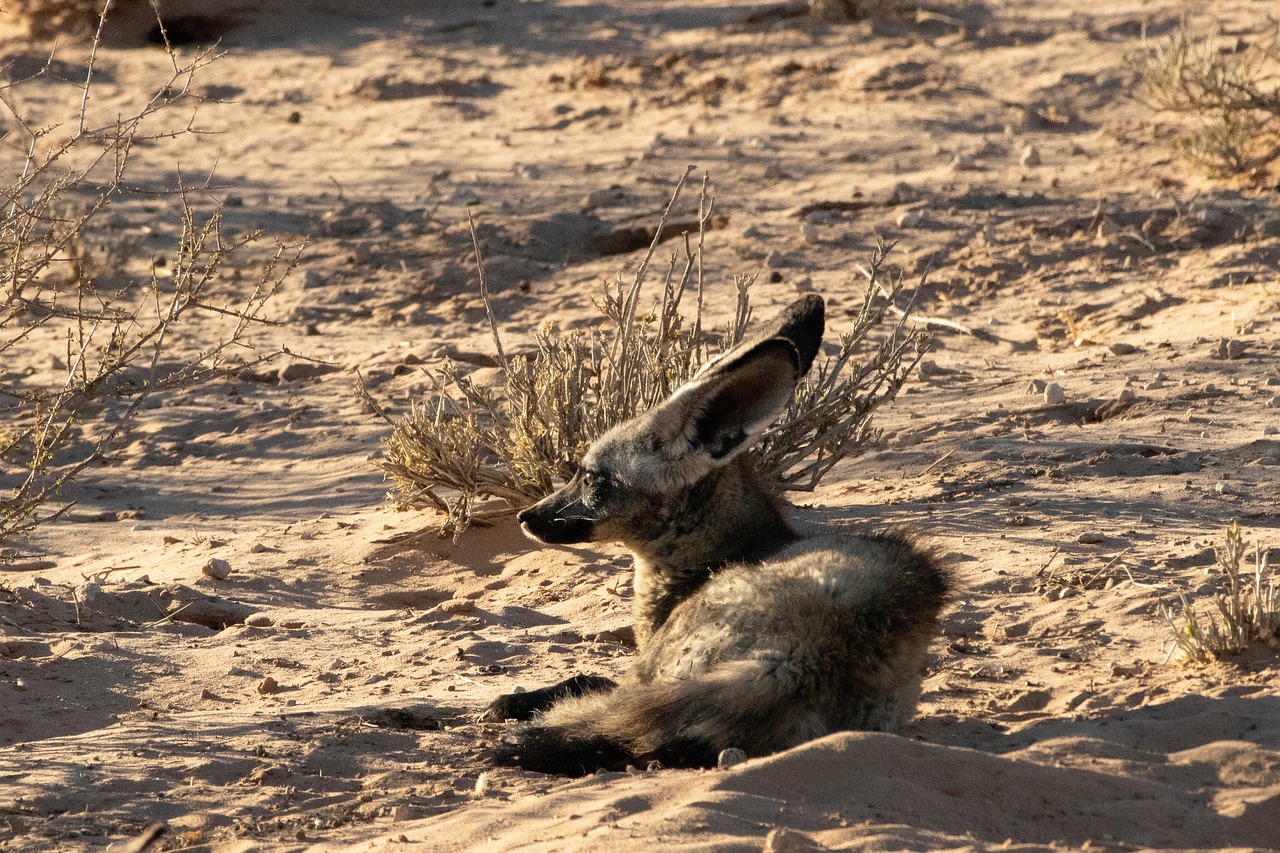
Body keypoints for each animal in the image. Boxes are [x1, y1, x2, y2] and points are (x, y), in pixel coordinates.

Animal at [483, 295, 947, 773]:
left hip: (662, 667)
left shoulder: (643, 666)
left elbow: (587, 680)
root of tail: (806, 658)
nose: (526, 517)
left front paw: (518, 702)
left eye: (593, 479)